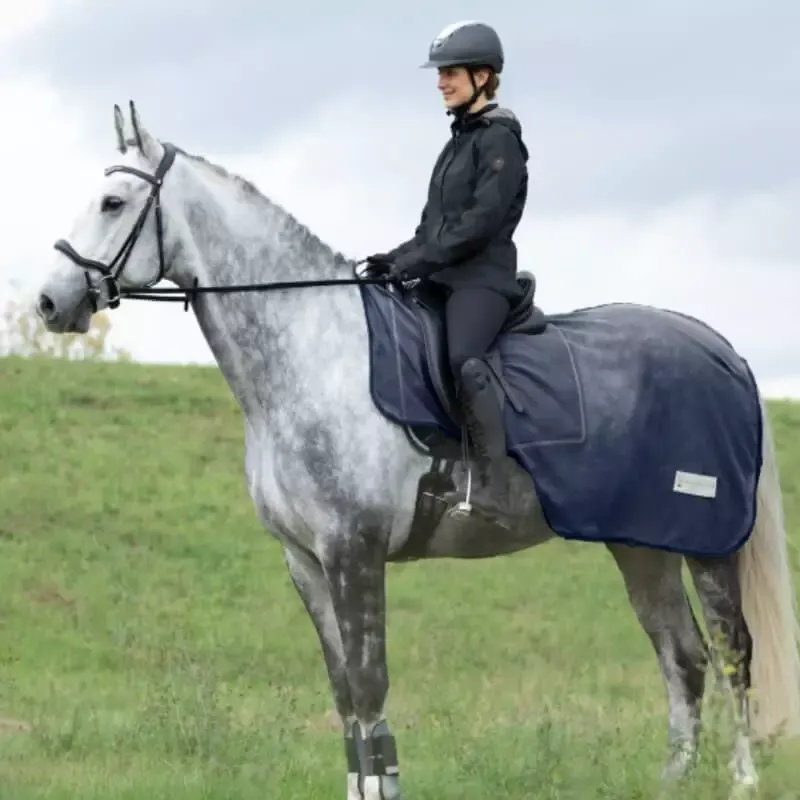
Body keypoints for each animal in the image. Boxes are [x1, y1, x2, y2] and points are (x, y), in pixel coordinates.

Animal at [33, 101, 800, 799]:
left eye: (111, 202)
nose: (49, 303)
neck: (314, 352)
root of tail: (719, 351)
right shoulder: (305, 560)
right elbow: (344, 693)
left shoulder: (354, 549)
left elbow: (370, 686)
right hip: (640, 545)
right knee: (683, 656)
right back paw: (673, 781)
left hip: (706, 543)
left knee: (731, 653)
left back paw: (741, 781)